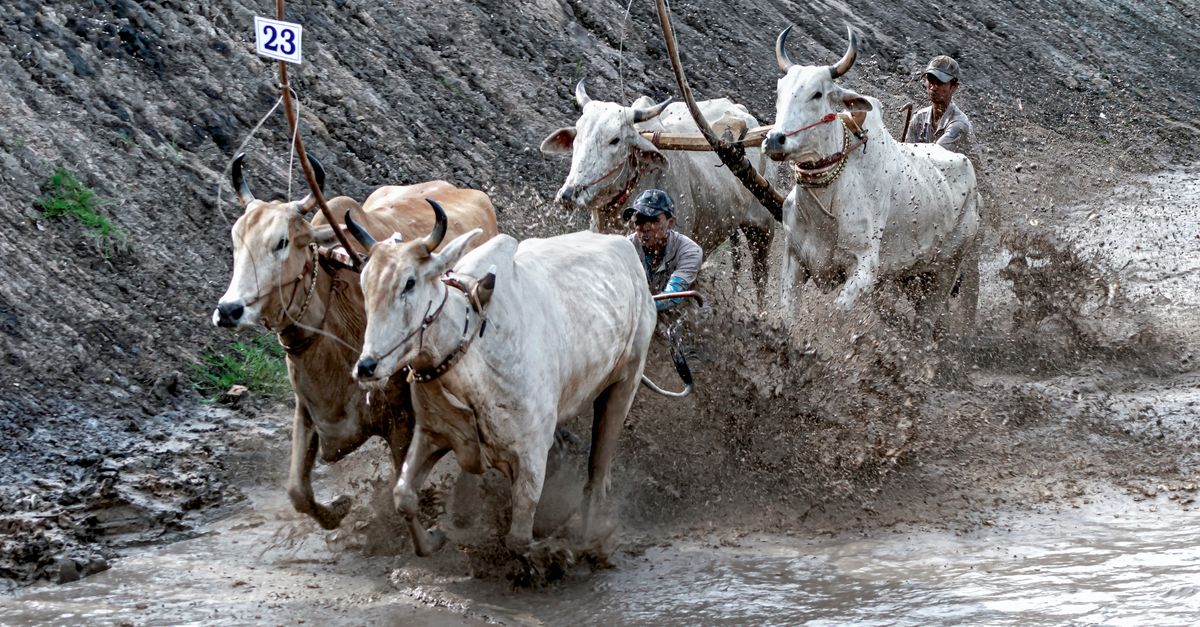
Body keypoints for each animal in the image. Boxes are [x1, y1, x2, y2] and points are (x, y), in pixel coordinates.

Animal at [211, 153, 498, 530]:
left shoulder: (401, 420)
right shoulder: (307, 410)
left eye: (281, 242)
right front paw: (338, 509)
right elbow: (297, 492)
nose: (228, 310)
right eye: (235, 240)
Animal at [347, 201, 656, 555]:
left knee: (597, 474)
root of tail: (627, 254)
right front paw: (431, 541)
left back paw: (586, 540)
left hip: (625, 381)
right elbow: (404, 497)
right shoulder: (431, 434)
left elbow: (519, 537)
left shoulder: (530, 454)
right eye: (365, 283)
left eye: (409, 283)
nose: (366, 366)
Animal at [541, 80, 780, 302]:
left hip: (762, 228)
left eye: (615, 139)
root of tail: (740, 110)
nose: (568, 194)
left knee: (760, 277)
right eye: (578, 135)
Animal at [762, 25, 980, 332]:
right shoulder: (794, 257)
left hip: (945, 272)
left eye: (817, 94)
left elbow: (836, 313)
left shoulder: (865, 266)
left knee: (926, 323)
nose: (774, 139)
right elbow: (789, 316)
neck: (830, 195)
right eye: (780, 92)